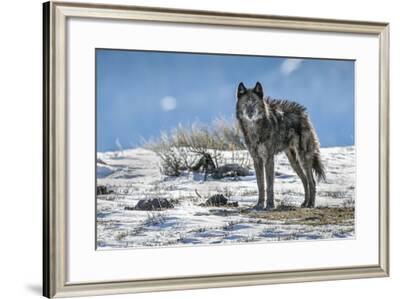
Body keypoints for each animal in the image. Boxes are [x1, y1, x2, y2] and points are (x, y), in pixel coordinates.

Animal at [234, 81, 324, 210]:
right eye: (245, 103)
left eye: (255, 102)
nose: (250, 113)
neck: (255, 129)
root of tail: (304, 113)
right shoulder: (257, 159)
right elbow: (260, 184)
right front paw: (259, 204)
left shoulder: (269, 158)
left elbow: (269, 185)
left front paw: (270, 205)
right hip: (293, 161)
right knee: (305, 180)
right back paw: (304, 203)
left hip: (303, 158)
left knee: (312, 181)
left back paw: (311, 204)